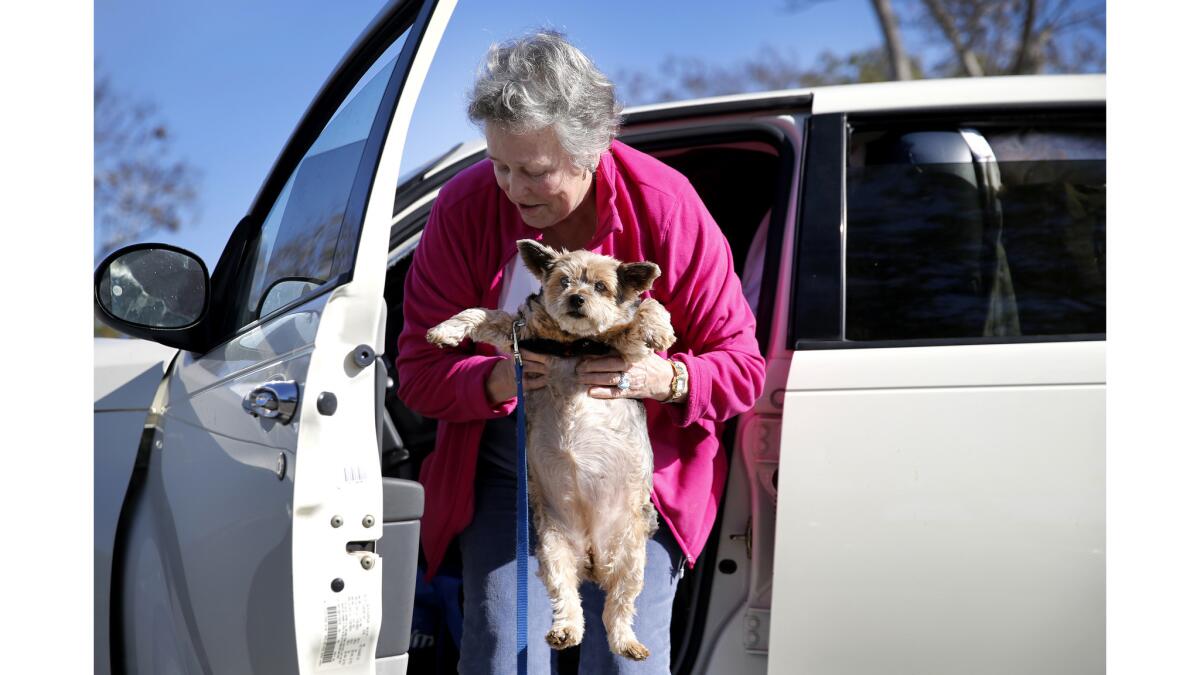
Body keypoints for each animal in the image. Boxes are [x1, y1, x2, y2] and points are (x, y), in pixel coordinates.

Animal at [429, 239, 676, 658]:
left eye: (601, 287)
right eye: (563, 281)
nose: (577, 298)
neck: (573, 342)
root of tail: (592, 556)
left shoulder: (624, 350)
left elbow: (647, 307)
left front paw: (659, 331)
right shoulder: (518, 336)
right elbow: (480, 312)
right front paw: (444, 331)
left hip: (631, 557)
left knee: (618, 606)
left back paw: (628, 642)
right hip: (552, 548)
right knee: (568, 598)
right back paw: (565, 631)